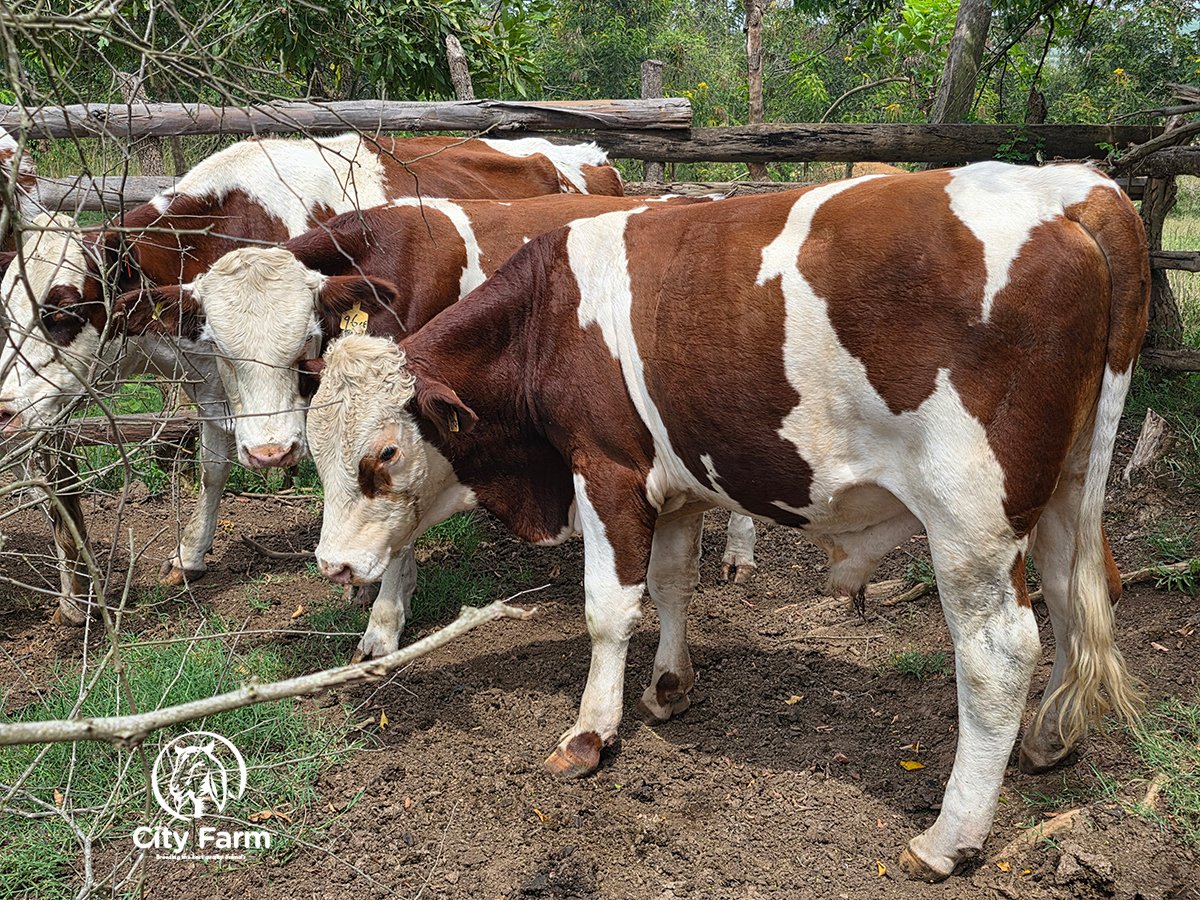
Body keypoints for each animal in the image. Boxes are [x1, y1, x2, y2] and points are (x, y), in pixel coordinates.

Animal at [0, 134, 623, 622]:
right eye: (6, 312)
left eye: (60, 311)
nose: (6, 407)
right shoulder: (212, 383)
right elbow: (212, 467)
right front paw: (190, 555)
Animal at [116, 192, 758, 660]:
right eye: (221, 350)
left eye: (302, 345)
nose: (271, 452)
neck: (384, 262)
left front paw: (383, 623)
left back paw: (740, 549)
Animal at [304, 162, 1148, 879]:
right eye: (314, 445)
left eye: (384, 453)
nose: (332, 564)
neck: (546, 319)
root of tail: (1073, 190)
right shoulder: (677, 485)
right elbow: (674, 585)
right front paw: (670, 686)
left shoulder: (607, 470)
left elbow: (609, 609)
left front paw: (591, 733)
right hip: (1067, 489)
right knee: (1077, 596)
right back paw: (1049, 741)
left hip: (970, 517)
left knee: (999, 652)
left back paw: (947, 838)